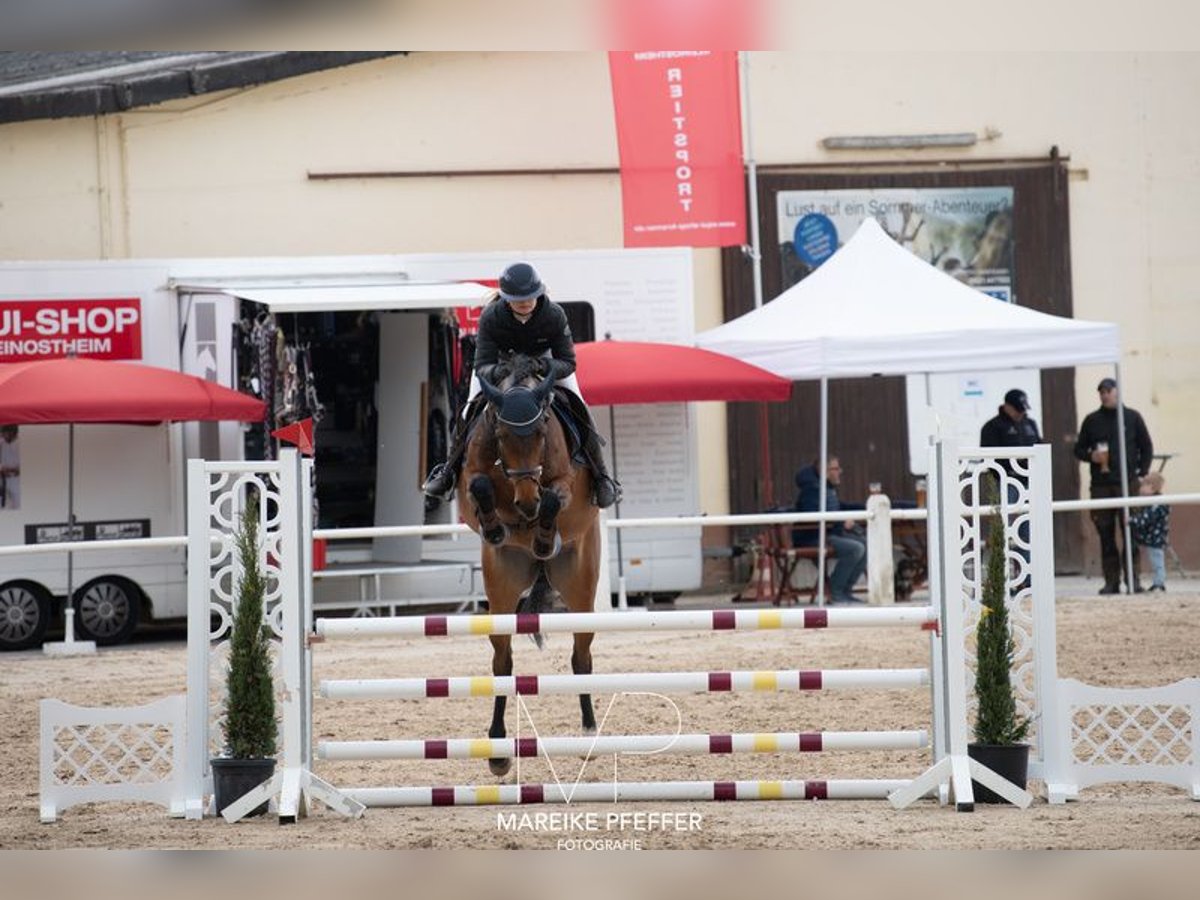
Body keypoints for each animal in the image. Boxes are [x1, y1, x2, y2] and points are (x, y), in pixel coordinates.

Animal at [458, 355, 604, 777]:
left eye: (540, 432)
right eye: (500, 434)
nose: (526, 503)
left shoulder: (563, 482)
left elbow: (555, 497)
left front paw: (542, 535)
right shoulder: (470, 479)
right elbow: (480, 486)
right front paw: (495, 526)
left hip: (580, 587)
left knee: (581, 655)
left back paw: (589, 732)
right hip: (502, 588)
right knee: (502, 662)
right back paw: (497, 750)